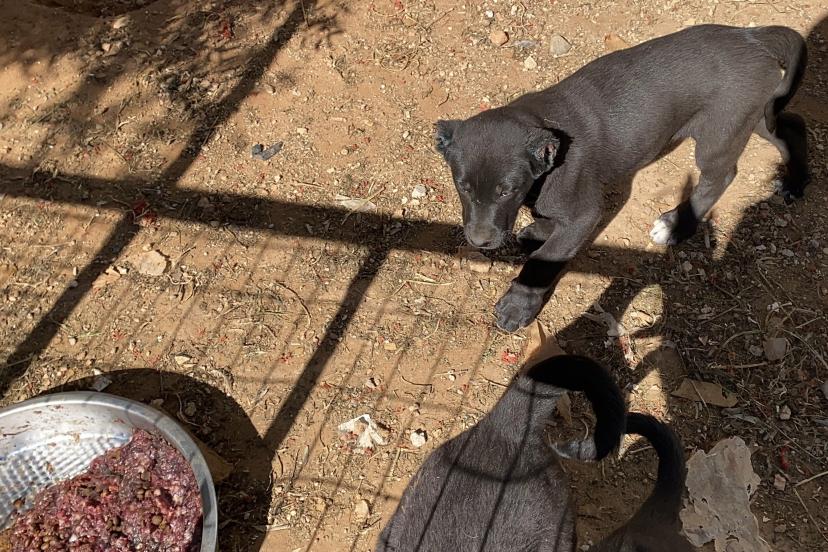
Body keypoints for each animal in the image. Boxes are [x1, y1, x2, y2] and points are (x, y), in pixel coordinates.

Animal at [435, 25, 808, 331]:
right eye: (462, 186)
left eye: (506, 191)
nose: (480, 241)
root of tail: (750, 35)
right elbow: (545, 222)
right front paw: (537, 231)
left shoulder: (584, 214)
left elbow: (545, 259)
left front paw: (517, 306)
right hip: (751, 116)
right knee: (790, 126)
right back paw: (795, 182)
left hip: (721, 130)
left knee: (721, 176)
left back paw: (676, 225)